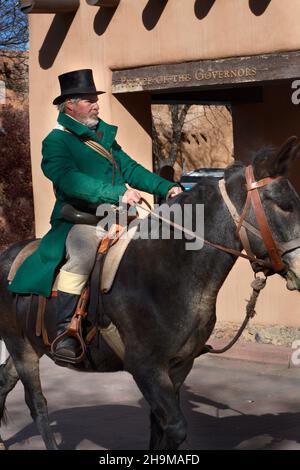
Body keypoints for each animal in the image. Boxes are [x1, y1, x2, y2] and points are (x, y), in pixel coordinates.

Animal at [0, 138, 300, 450]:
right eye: (284, 206)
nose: (299, 269)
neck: (166, 274)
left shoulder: (179, 366)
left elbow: (159, 428)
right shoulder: (146, 368)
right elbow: (175, 428)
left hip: (28, 345)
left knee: (5, 382)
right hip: (20, 347)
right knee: (37, 403)